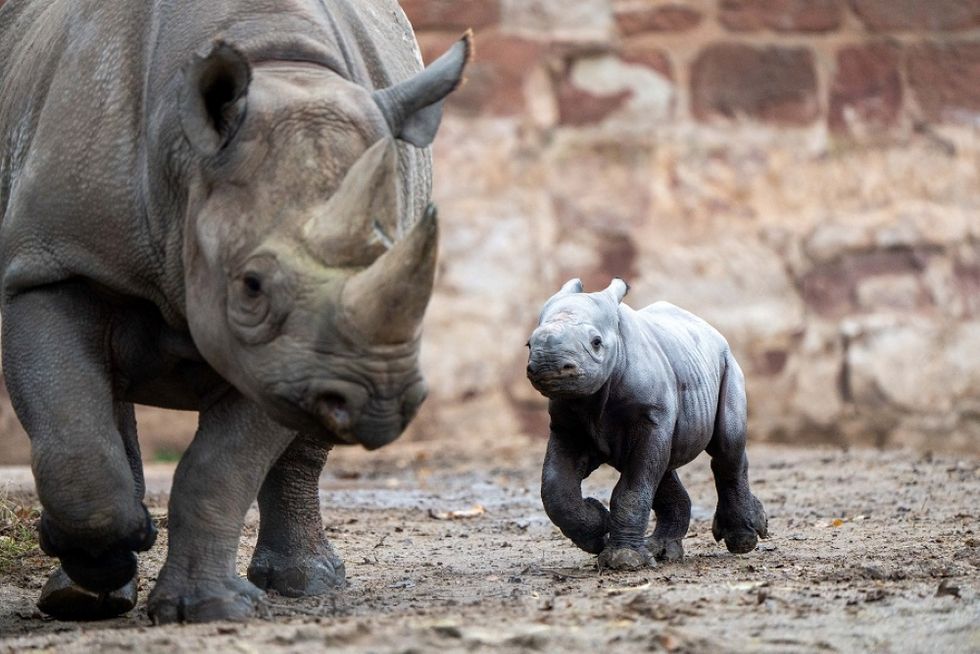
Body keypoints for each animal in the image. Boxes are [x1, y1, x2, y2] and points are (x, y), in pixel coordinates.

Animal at [524, 280, 768, 572]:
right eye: (528, 344)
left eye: (596, 343)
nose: (549, 366)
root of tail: (711, 329)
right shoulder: (567, 425)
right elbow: (555, 490)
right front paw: (599, 529)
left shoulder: (650, 417)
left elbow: (632, 489)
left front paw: (623, 560)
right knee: (662, 466)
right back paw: (662, 552)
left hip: (727, 363)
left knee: (726, 447)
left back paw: (742, 541)